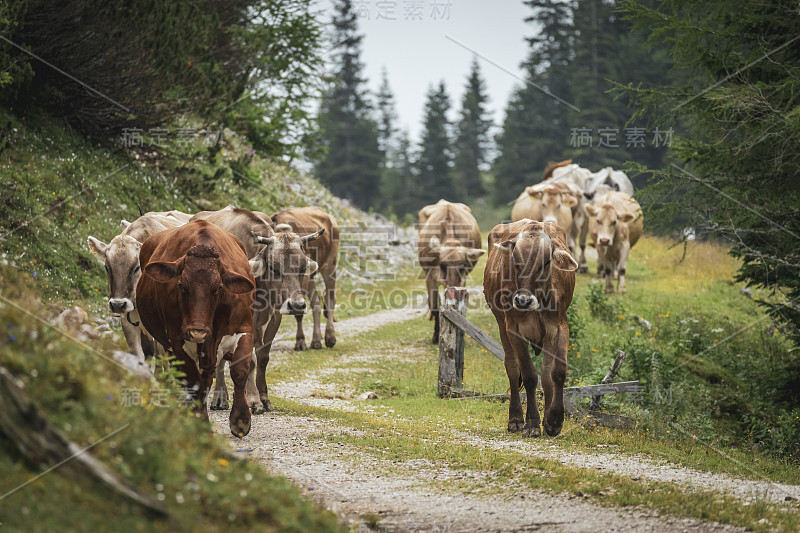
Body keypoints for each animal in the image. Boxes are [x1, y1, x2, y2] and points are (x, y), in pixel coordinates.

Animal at [134, 220, 253, 436]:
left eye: (219, 287)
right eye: (181, 285)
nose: (197, 331)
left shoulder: (244, 328)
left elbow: (239, 371)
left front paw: (240, 420)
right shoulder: (177, 342)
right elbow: (192, 383)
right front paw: (199, 424)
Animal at [272, 206, 340, 352]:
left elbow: (298, 311)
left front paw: (300, 341)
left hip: (329, 266)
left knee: (330, 299)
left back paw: (329, 337)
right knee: (316, 302)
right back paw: (317, 339)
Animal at [416, 201, 484, 344]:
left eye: (463, 265)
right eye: (442, 265)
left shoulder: (463, 278)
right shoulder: (430, 276)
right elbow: (435, 306)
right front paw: (436, 336)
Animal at [482, 219, 576, 436]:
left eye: (546, 262)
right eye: (516, 261)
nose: (523, 301)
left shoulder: (559, 327)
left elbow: (557, 372)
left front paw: (554, 420)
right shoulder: (514, 329)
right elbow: (529, 375)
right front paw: (532, 423)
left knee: (547, 373)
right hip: (502, 325)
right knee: (512, 367)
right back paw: (516, 419)